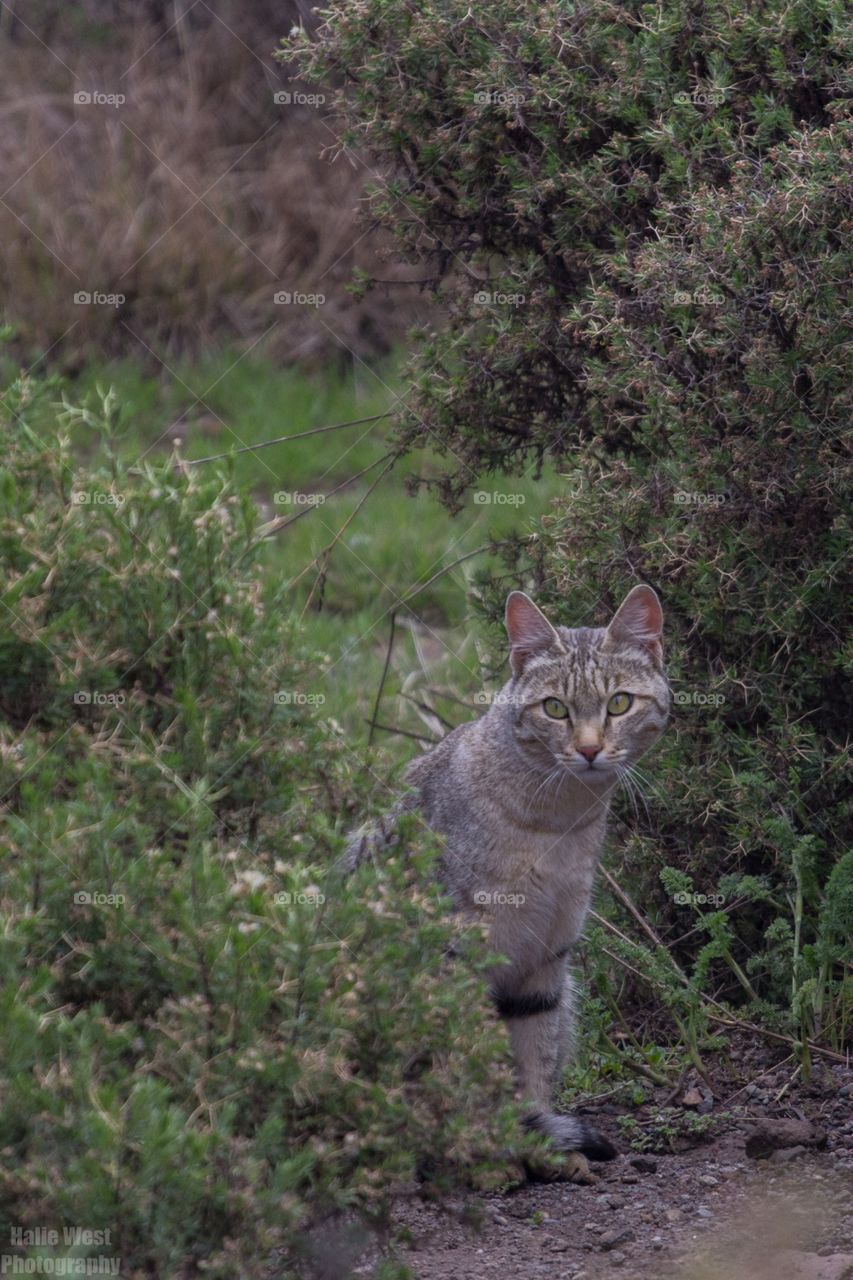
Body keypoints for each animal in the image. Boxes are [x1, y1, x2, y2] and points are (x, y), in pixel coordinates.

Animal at [343, 586, 666, 1167]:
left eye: (620, 703)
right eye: (555, 708)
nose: (589, 749)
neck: (556, 824)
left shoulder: (546, 960)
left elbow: (533, 1060)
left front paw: (534, 1143)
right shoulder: (456, 958)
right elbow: (464, 1064)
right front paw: (481, 1148)